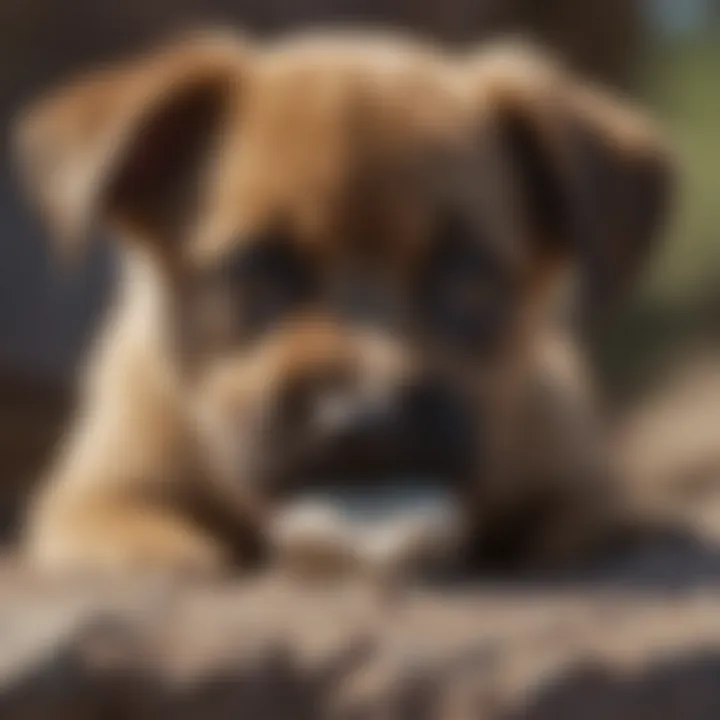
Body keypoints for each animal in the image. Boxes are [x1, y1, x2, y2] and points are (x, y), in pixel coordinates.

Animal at [12, 31, 676, 576]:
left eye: (468, 280)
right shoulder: (92, 494)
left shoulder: (580, 473)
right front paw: (167, 549)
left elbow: (587, 514)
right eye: (254, 271)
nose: (368, 420)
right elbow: (136, 530)